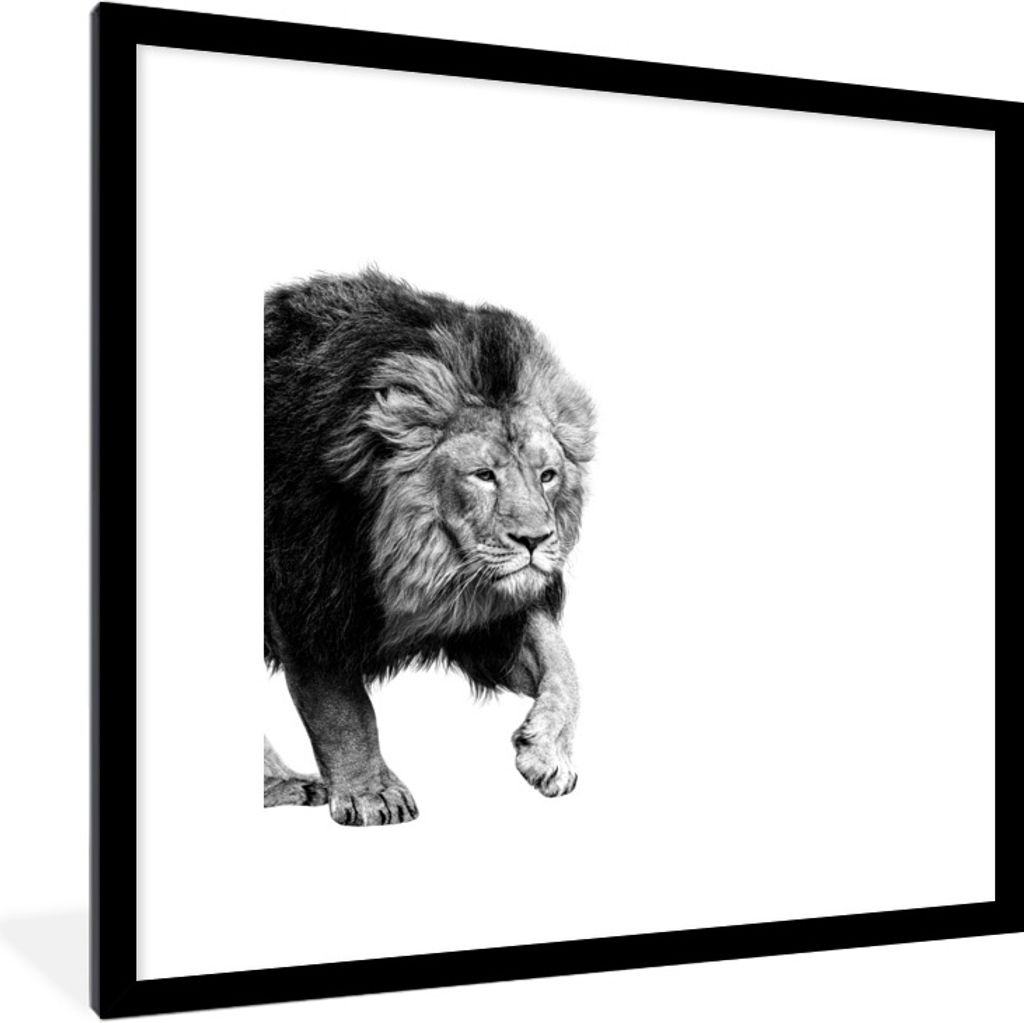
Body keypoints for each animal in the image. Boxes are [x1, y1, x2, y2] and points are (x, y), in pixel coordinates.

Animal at [264, 270, 595, 826]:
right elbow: (340, 705)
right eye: (483, 475)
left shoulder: (486, 613)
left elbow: (564, 665)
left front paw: (546, 753)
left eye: (547, 475)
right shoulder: (308, 591)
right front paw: (372, 793)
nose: (535, 540)